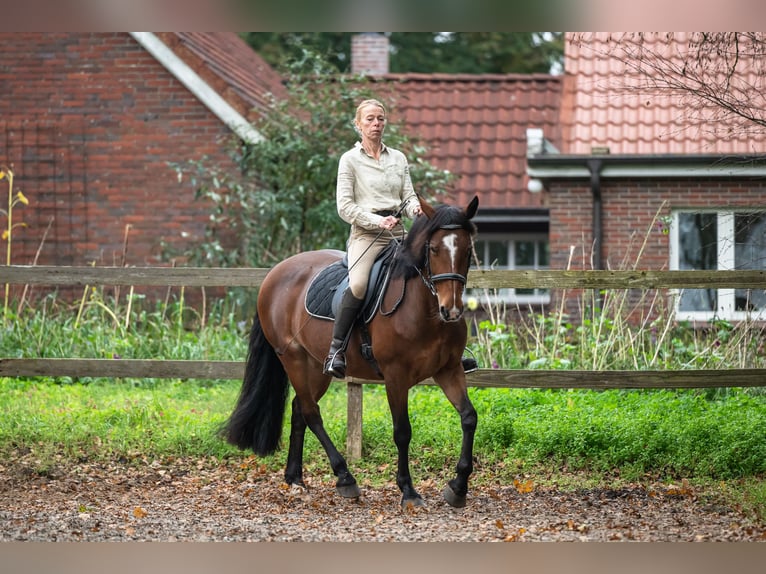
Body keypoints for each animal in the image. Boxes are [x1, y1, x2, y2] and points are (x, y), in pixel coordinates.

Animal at [222, 196, 480, 510]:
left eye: (468, 250)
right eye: (433, 249)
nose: (451, 310)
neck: (423, 310)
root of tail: (275, 273)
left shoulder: (449, 369)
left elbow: (469, 417)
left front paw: (458, 486)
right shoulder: (396, 377)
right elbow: (402, 431)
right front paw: (408, 491)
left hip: (316, 366)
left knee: (300, 409)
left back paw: (295, 478)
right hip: (293, 359)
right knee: (311, 413)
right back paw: (345, 478)